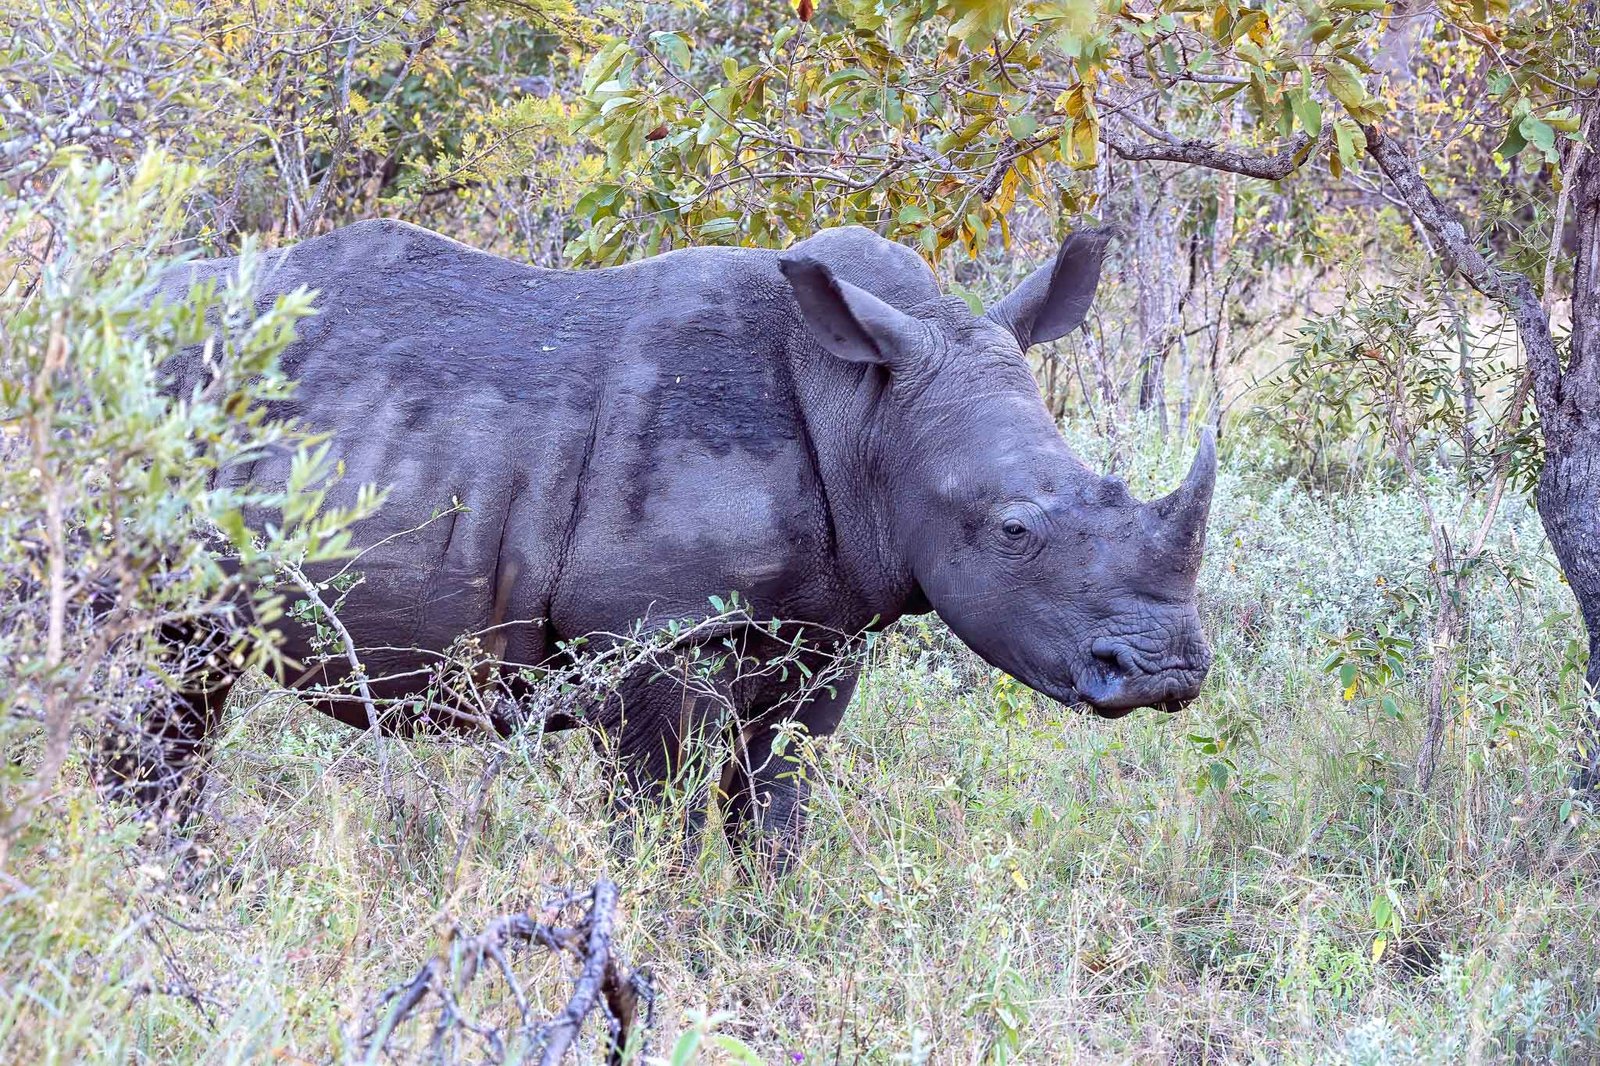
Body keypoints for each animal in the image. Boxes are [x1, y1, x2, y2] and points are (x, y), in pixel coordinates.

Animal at [117, 220, 1215, 866]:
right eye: (1014, 530)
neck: (865, 410)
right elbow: (665, 815)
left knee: (186, 675)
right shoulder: (656, 630)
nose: (1166, 672)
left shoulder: (826, 632)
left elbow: (777, 802)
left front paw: (769, 924)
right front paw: (663, 926)